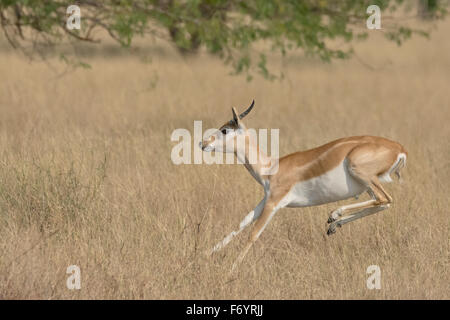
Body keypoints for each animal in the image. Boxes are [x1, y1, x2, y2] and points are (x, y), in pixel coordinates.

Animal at [200, 100, 408, 270]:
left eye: (225, 129)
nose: (203, 143)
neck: (271, 167)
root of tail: (400, 149)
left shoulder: (274, 203)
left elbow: (254, 233)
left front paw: (230, 269)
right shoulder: (265, 200)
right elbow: (242, 222)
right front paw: (205, 254)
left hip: (361, 173)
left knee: (385, 198)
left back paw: (334, 215)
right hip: (368, 185)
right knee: (383, 203)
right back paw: (333, 224)